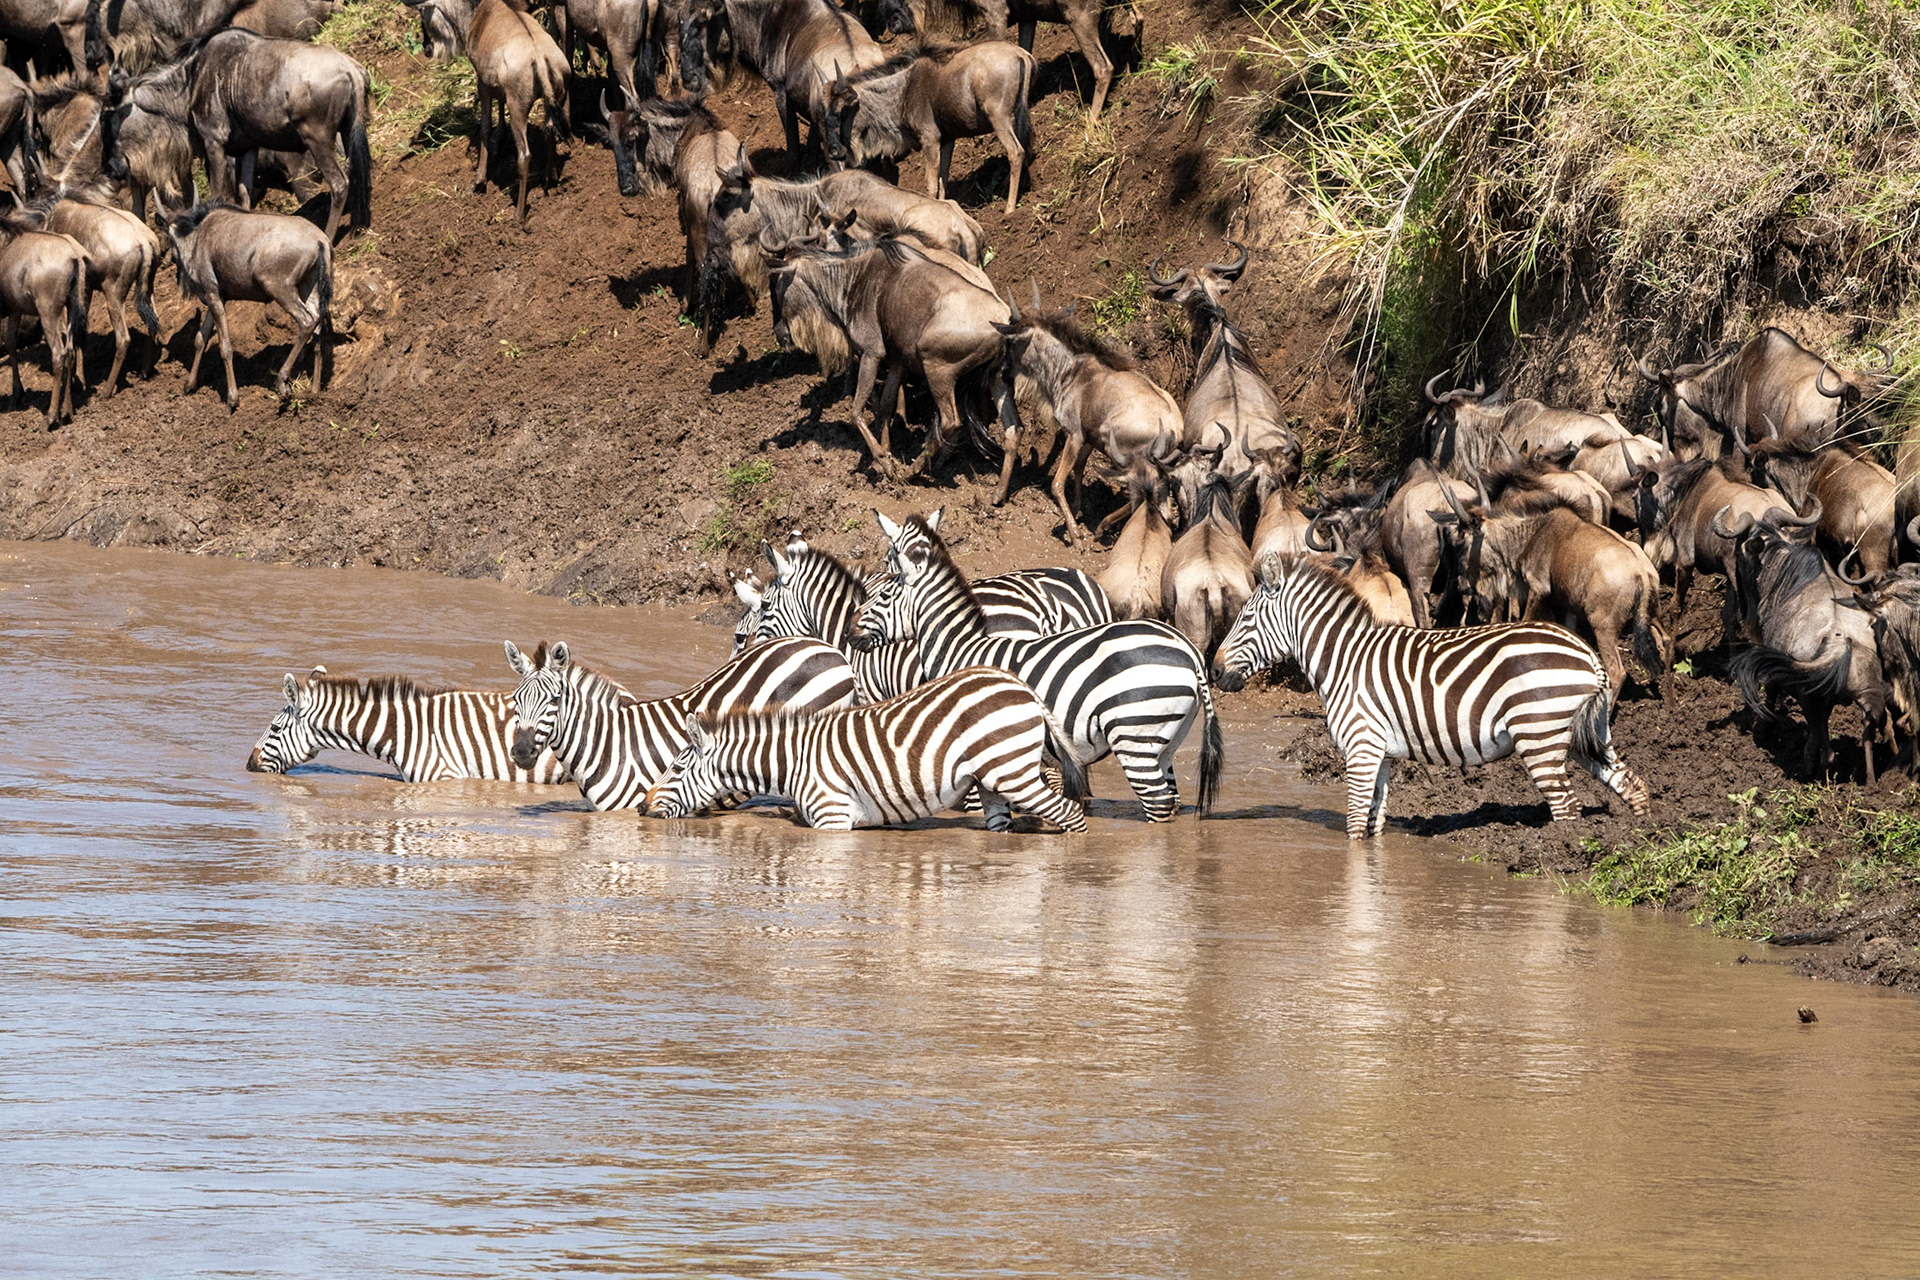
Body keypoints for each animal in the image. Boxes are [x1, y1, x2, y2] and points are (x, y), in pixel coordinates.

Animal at [643, 666, 1090, 832]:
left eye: (676, 768)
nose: (643, 808)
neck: (792, 761)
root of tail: (1019, 684)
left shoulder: (832, 818)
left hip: (1012, 773)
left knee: (1071, 815)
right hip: (992, 781)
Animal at [853, 512, 1223, 821]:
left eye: (884, 593)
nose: (849, 631)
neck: (957, 648)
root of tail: (1187, 650)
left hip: (1135, 733)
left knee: (1156, 806)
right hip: (1165, 740)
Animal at [1212, 553, 1651, 839]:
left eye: (1245, 617)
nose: (1214, 670)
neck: (1345, 660)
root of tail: (1587, 654)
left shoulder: (1361, 747)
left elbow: (1354, 826)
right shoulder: (1381, 754)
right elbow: (1373, 824)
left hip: (1539, 734)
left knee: (1566, 807)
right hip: (1584, 733)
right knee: (1631, 783)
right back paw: (1641, 837)